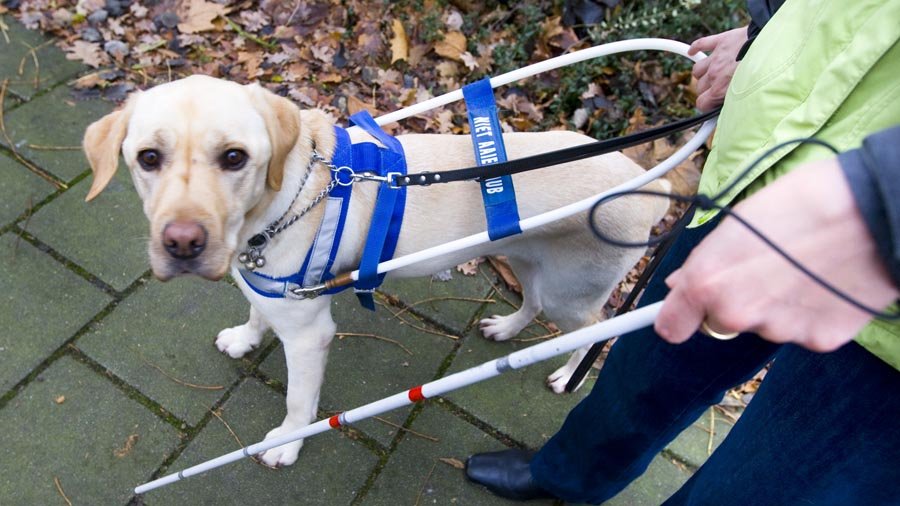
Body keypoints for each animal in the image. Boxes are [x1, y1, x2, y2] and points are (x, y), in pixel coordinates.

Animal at [82, 75, 668, 466]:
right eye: (148, 158)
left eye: (234, 157)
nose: (182, 244)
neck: (285, 201)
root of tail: (653, 183)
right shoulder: (268, 290)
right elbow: (255, 313)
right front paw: (244, 339)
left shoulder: (310, 335)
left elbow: (299, 400)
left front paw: (287, 444)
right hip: (525, 256)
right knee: (535, 301)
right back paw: (506, 328)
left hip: (574, 292)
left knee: (596, 332)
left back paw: (567, 374)